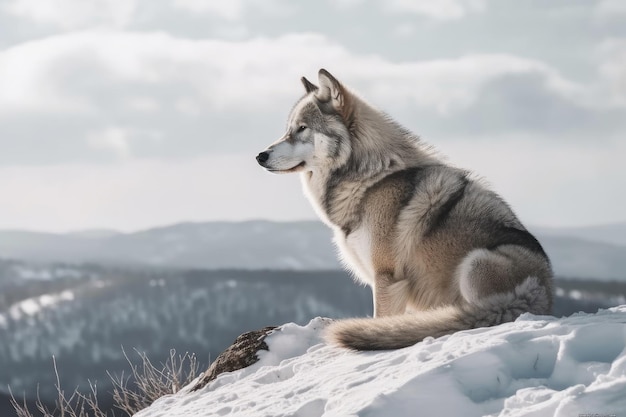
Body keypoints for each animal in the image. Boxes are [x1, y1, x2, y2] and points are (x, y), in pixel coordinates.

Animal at [254, 70, 552, 350]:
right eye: (288, 129)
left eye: (302, 128)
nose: (260, 156)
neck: (369, 178)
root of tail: (545, 295)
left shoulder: (387, 278)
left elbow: (382, 319)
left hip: (475, 263)